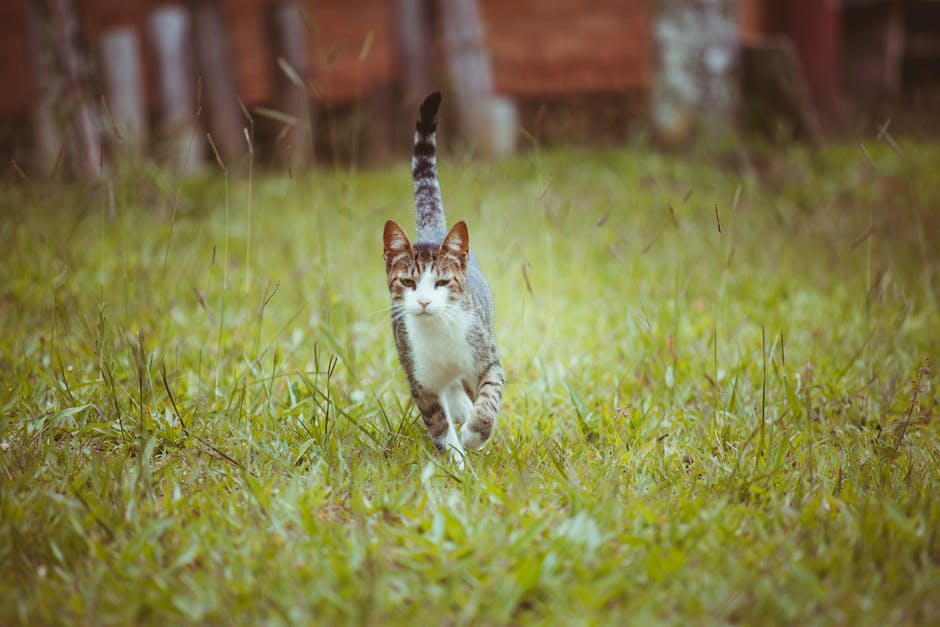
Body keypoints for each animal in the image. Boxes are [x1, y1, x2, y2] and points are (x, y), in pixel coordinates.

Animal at [380, 92, 504, 466]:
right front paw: (457, 464)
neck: (439, 333)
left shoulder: (487, 356)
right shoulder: (419, 377)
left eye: (442, 283)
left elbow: (490, 396)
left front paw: (476, 434)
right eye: (408, 283)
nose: (423, 301)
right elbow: (438, 424)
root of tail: (432, 234)